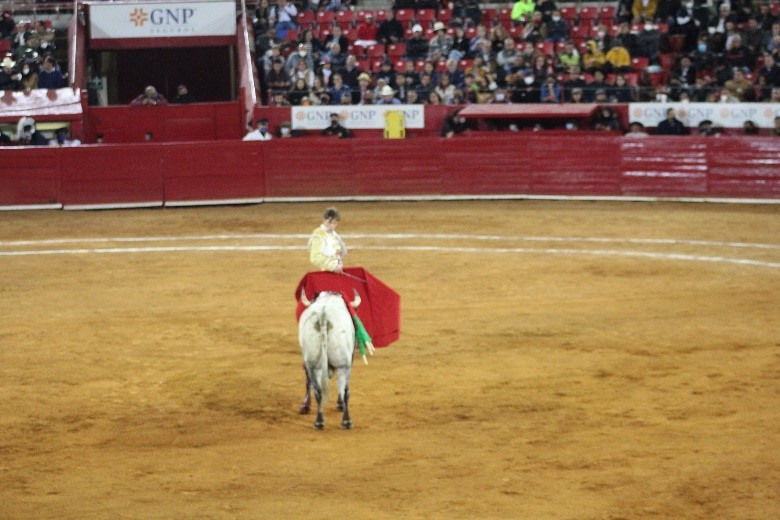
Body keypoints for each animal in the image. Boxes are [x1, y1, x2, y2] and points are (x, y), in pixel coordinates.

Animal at [298, 288, 360, 430]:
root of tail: (323, 315)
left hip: (311, 363)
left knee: (317, 390)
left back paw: (319, 421)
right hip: (344, 364)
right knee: (344, 391)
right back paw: (346, 421)